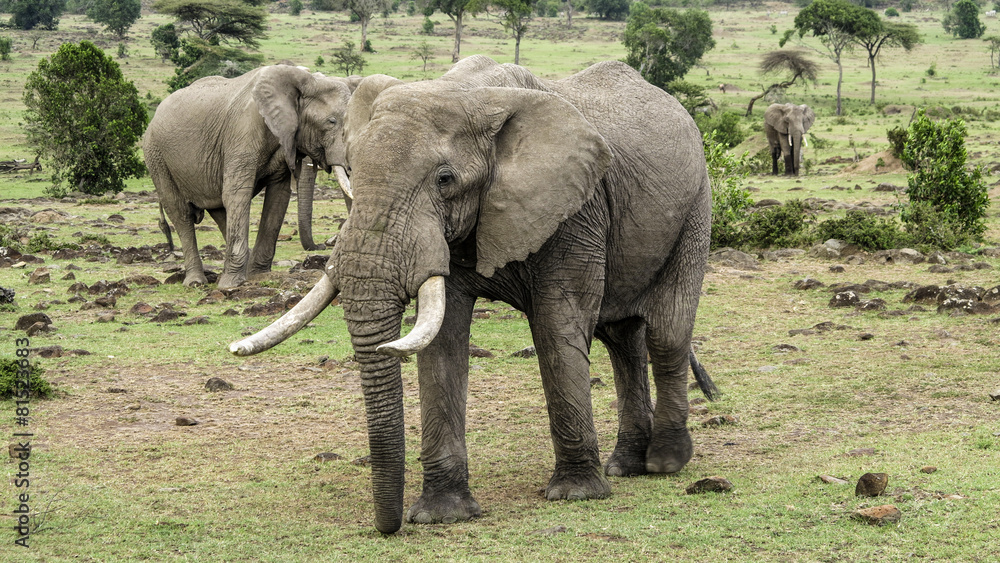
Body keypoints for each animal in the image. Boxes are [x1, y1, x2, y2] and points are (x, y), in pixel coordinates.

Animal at [143, 65, 361, 289]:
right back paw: (196, 282)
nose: (320, 247)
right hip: (156, 155)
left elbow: (278, 197)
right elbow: (237, 193)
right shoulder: (242, 132)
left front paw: (258, 275)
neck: (303, 79)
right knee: (180, 213)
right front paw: (230, 284)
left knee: (218, 209)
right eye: (331, 121)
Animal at [230, 55, 717, 534]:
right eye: (352, 170)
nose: (389, 528)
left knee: (666, 334)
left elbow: (559, 327)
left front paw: (576, 493)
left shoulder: (577, 209)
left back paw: (664, 463)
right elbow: (443, 339)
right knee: (620, 339)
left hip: (696, 207)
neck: (469, 93)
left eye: (445, 179)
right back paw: (626, 465)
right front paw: (441, 514)